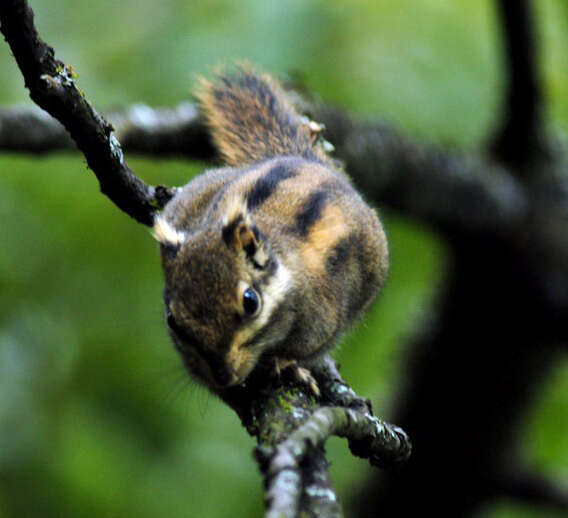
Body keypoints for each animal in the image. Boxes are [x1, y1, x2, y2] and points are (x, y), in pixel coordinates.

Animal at [153, 67, 388, 396]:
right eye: (172, 320)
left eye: (250, 301)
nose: (223, 377)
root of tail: (301, 158)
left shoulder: (321, 314)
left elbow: (302, 348)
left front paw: (286, 365)